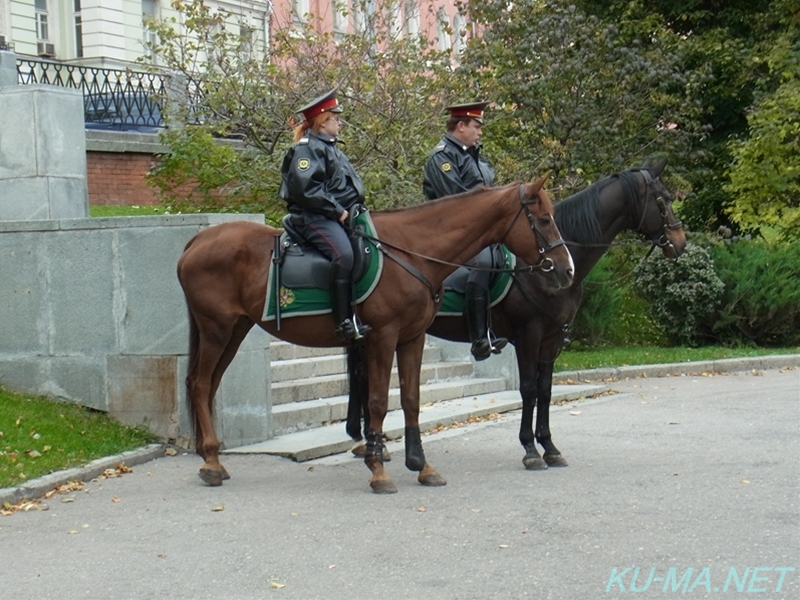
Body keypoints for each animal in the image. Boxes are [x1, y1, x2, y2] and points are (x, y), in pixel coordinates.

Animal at [175, 177, 576, 492]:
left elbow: (411, 400)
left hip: (234, 331)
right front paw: (379, 470)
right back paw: (212, 462)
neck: (413, 252)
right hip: (217, 330)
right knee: (199, 383)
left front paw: (420, 465)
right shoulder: (384, 337)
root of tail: (197, 239)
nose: (566, 270)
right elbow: (380, 402)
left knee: (208, 385)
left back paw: (212, 457)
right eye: (543, 219)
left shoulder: (412, 338)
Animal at [424, 159, 688, 468]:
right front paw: (529, 449)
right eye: (664, 199)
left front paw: (549, 446)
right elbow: (528, 389)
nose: (680, 241)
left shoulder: (551, 339)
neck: (542, 266)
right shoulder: (528, 335)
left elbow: (545, 390)